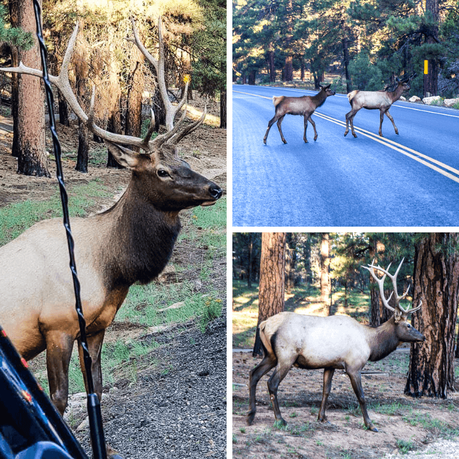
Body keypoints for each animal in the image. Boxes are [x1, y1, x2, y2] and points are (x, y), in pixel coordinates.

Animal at [0, 17, 223, 432]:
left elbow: (97, 389)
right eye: (162, 170)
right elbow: (59, 398)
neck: (111, 269)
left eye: (184, 159)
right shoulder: (56, 325)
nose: (214, 188)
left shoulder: (97, 326)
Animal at [250, 260, 426, 434]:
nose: (423, 336)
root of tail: (264, 324)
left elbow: (326, 390)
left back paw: (251, 414)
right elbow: (361, 396)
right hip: (286, 356)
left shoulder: (331, 364)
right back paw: (280, 419)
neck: (370, 344)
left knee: (253, 374)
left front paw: (322, 417)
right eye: (408, 325)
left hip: (270, 355)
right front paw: (370, 424)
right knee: (272, 383)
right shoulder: (353, 366)